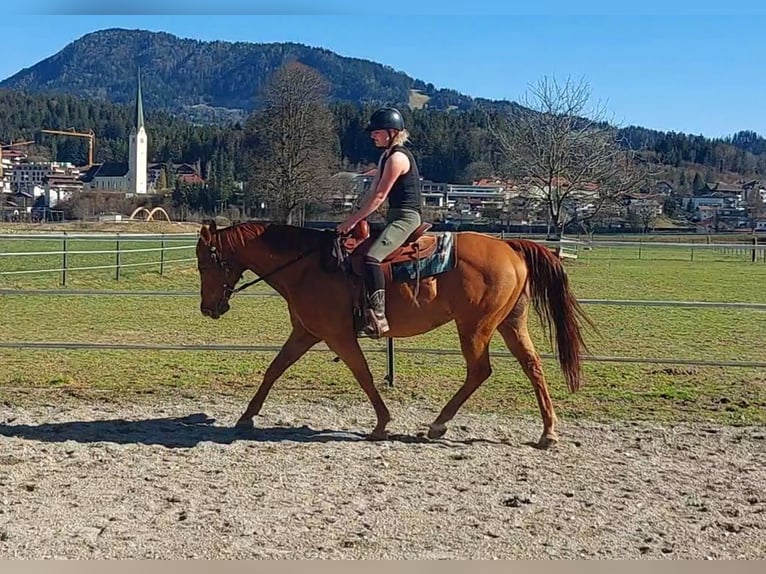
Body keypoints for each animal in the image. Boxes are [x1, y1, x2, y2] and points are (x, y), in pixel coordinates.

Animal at [194, 219, 594, 448]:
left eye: (204, 262)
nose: (208, 308)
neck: (307, 264)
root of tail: (509, 246)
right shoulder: (306, 333)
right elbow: (274, 370)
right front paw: (246, 416)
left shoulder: (338, 336)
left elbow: (364, 376)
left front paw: (382, 424)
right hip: (511, 324)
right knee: (533, 366)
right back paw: (548, 432)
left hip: (475, 327)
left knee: (480, 371)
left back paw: (439, 424)